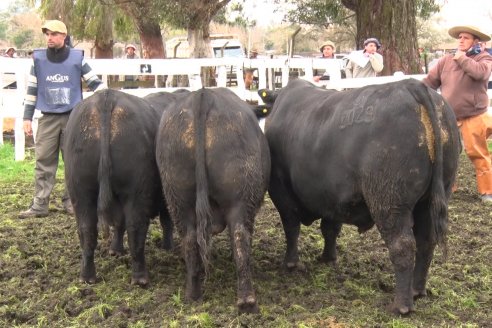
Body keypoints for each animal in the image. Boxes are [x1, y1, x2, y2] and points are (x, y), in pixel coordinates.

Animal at [63, 88, 183, 286]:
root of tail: (106, 97)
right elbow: (166, 222)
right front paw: (168, 247)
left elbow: (119, 223)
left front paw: (116, 250)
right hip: (136, 192)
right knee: (136, 229)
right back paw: (140, 277)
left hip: (80, 193)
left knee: (87, 231)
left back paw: (87, 276)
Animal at [157, 88, 270, 314]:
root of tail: (203, 95)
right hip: (240, 201)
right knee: (239, 237)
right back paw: (247, 301)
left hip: (178, 201)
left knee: (190, 240)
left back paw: (193, 294)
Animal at [262, 78, 462, 314]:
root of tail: (411, 85)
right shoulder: (333, 198)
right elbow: (330, 229)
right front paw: (328, 258)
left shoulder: (281, 191)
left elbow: (291, 227)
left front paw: (291, 264)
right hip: (431, 199)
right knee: (426, 241)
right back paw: (417, 290)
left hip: (388, 202)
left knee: (403, 246)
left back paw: (402, 305)